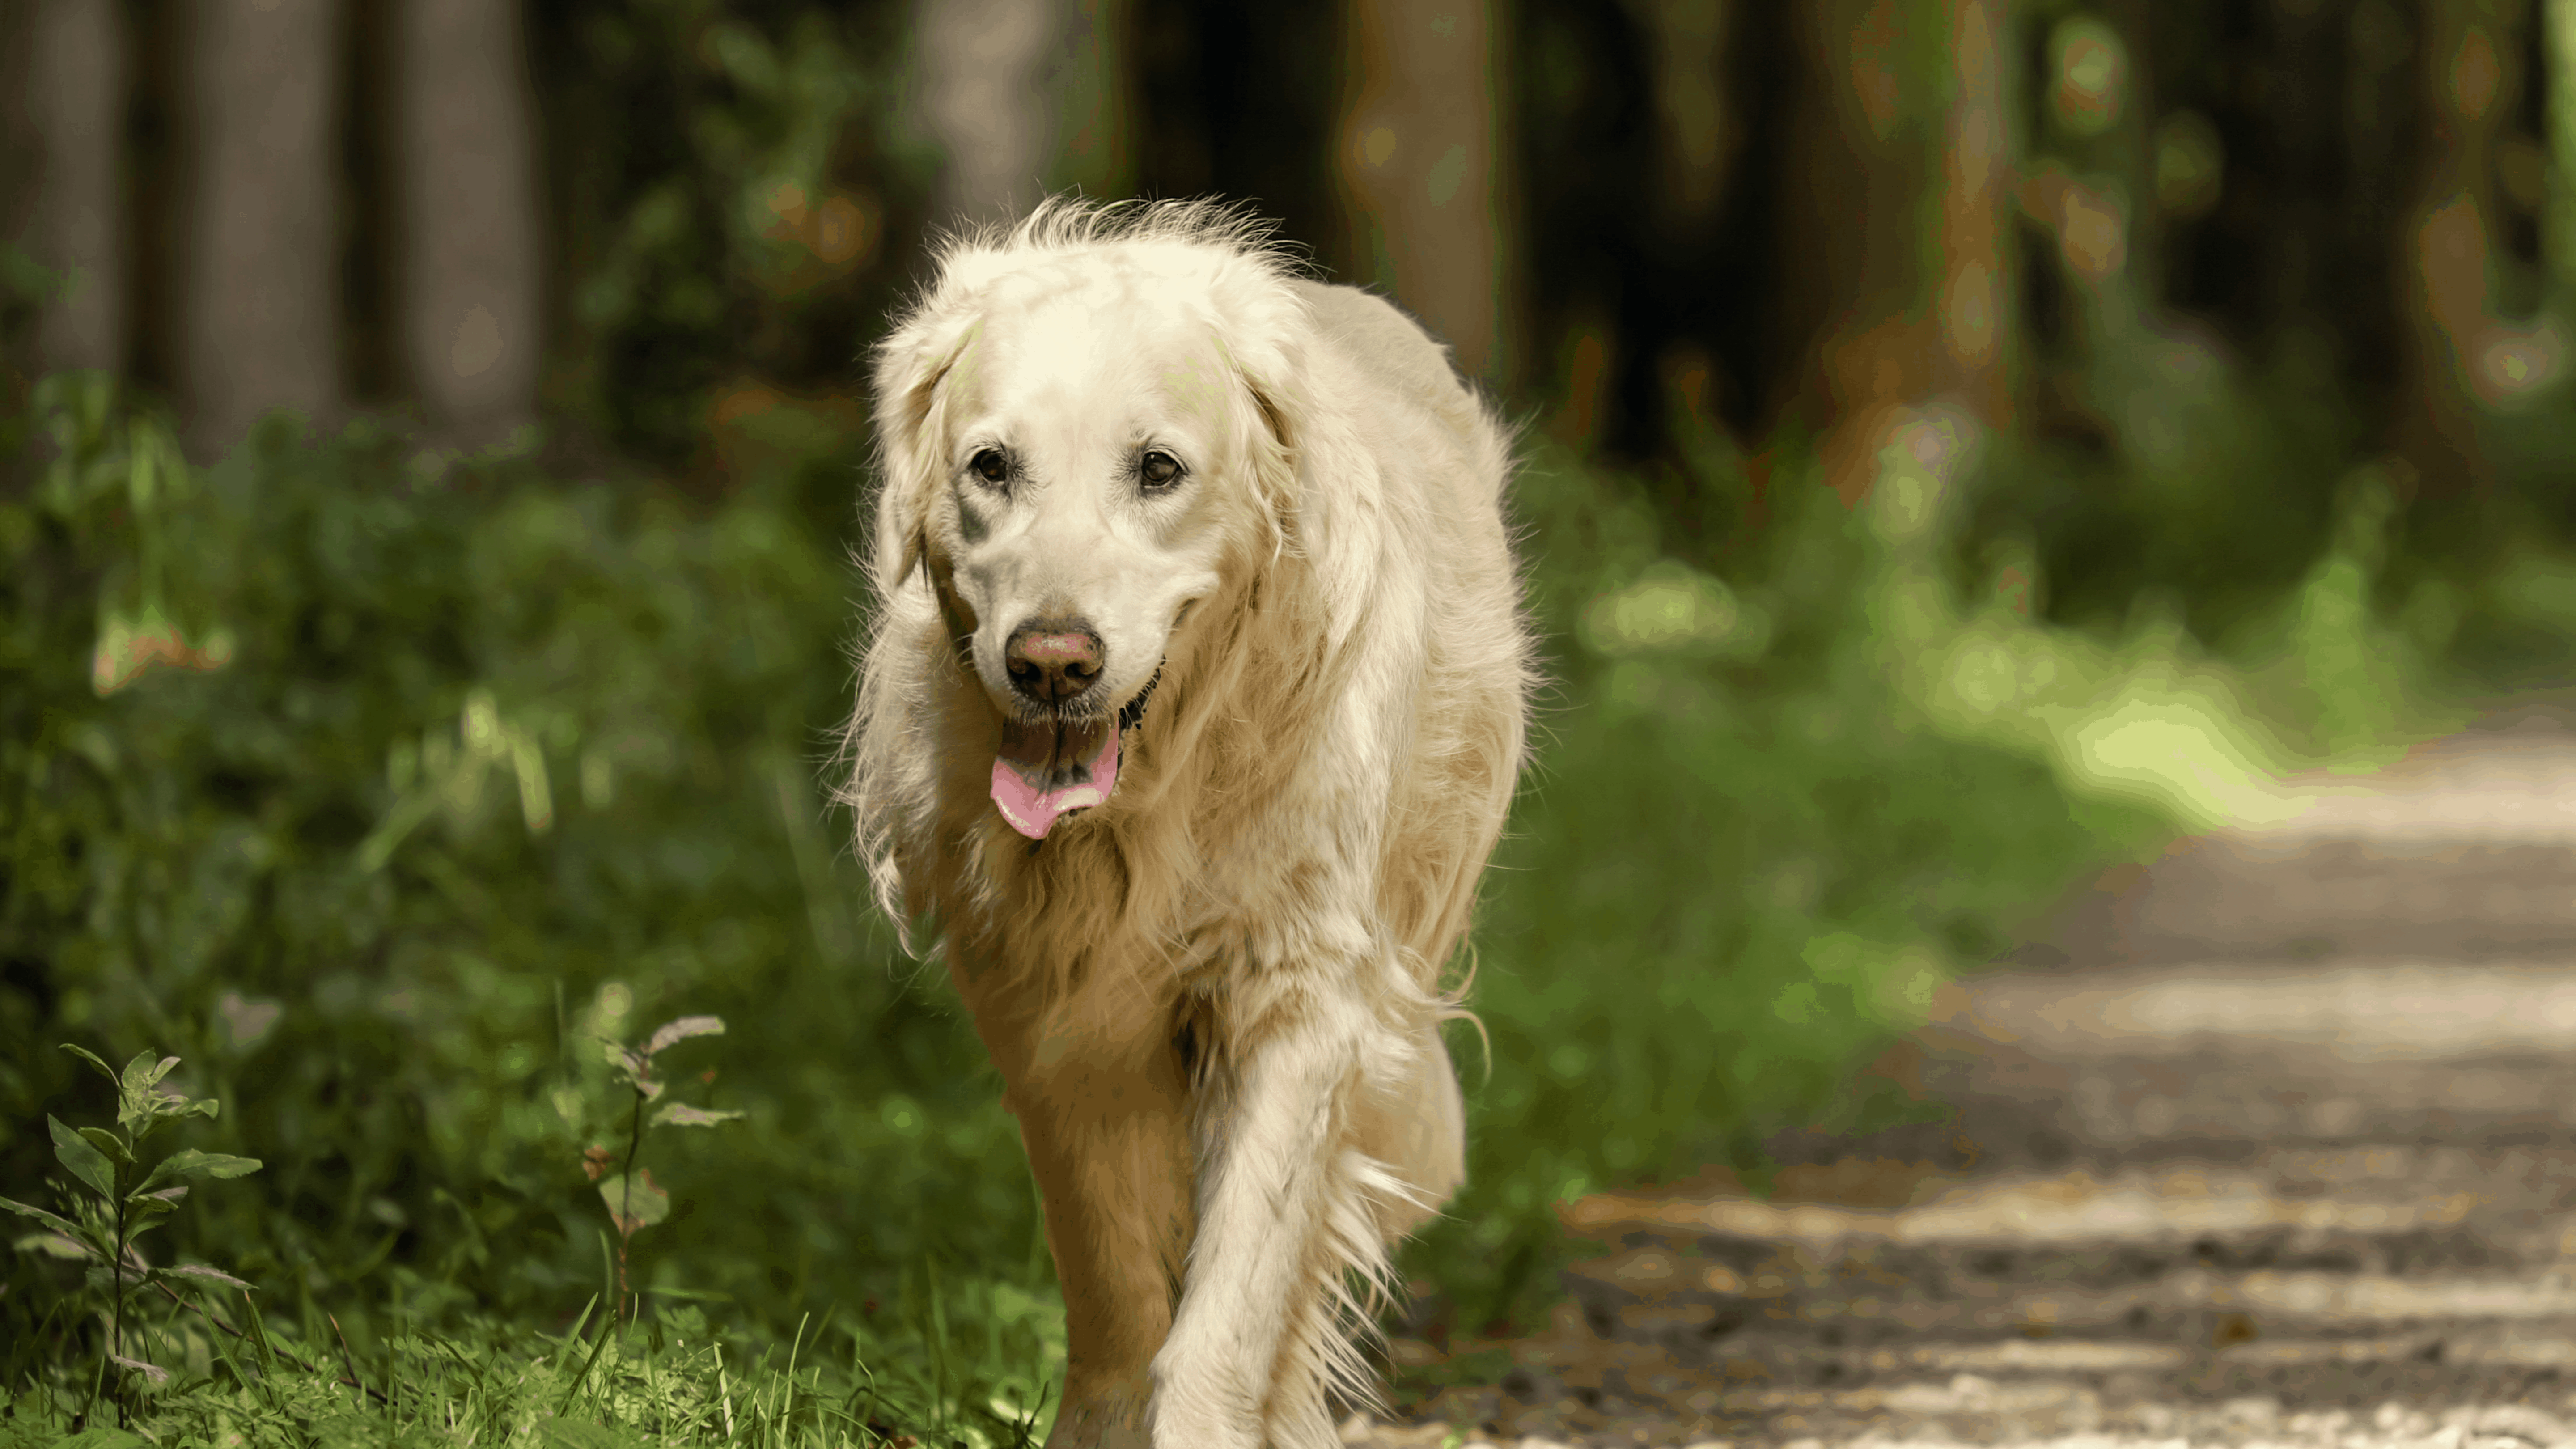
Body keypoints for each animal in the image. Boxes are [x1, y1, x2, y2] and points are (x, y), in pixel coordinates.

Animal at [845, 203, 1525, 1444]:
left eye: (1157, 470)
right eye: (990, 467)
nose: (1050, 662)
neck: (1154, 793)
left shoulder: (1300, 996)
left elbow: (1235, 1298)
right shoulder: (1050, 1011)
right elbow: (1113, 1275)